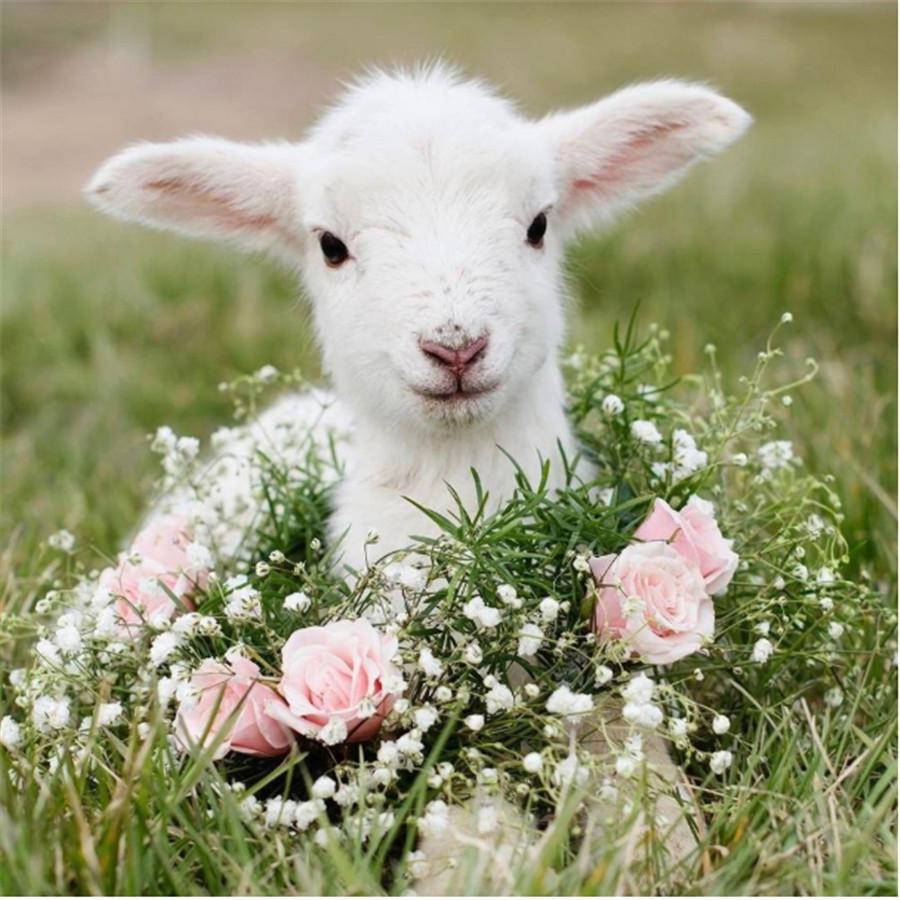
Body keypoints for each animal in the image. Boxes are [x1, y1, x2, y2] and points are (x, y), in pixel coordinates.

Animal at [86, 64, 750, 889]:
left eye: (539, 224)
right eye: (330, 245)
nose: (456, 345)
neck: (458, 490)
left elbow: (628, 746)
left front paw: (656, 850)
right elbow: (466, 799)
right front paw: (478, 868)